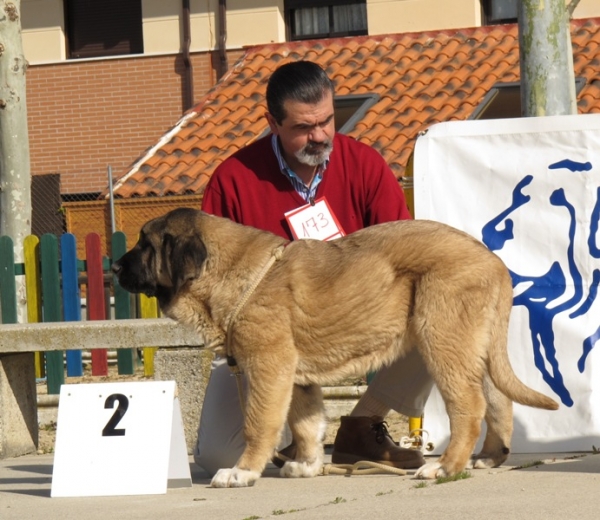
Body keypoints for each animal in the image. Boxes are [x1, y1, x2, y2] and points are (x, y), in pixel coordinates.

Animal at [111, 207, 556, 488]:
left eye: (145, 244)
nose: (114, 267)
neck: (231, 273)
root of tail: (494, 262)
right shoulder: (295, 377)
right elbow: (306, 423)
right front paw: (307, 466)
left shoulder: (268, 367)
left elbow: (260, 423)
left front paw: (242, 472)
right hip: (473, 346)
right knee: (498, 400)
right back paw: (489, 457)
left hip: (441, 340)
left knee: (469, 407)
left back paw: (445, 468)